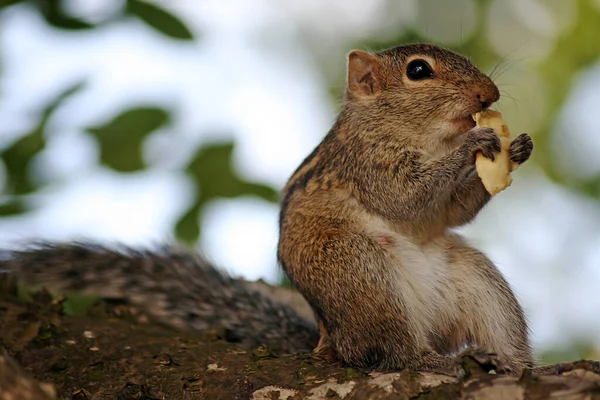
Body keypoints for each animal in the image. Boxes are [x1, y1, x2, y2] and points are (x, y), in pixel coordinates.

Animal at [0, 43, 536, 376]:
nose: (488, 96)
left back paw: (511, 364)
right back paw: (426, 362)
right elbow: (405, 196)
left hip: (474, 282)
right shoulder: (363, 163)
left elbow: (450, 212)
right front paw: (475, 143)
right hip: (357, 273)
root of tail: (327, 341)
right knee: (382, 352)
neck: (420, 135)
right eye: (419, 70)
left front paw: (517, 147)